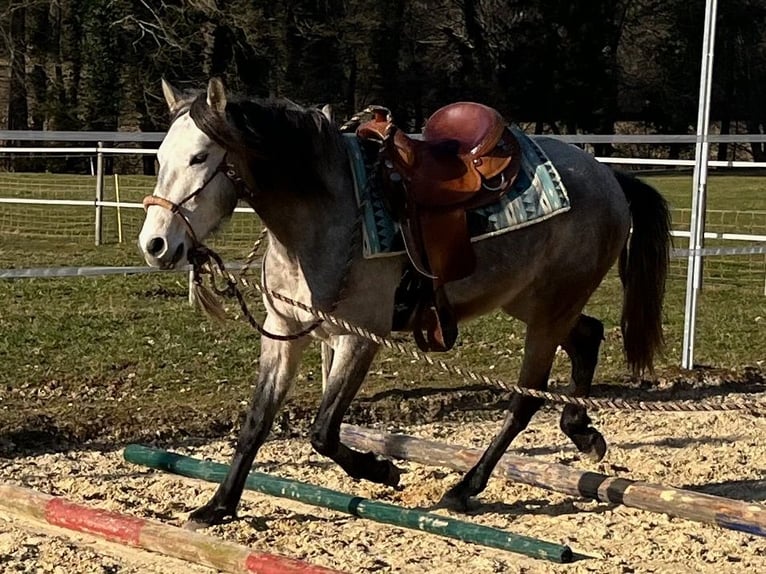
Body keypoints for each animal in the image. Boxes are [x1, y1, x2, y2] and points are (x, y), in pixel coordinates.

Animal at [140, 79, 672, 528]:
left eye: (200, 157)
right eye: (160, 157)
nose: (155, 245)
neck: (326, 213)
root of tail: (608, 177)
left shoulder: (359, 338)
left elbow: (323, 430)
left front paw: (382, 470)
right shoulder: (285, 331)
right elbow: (256, 422)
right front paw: (218, 506)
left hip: (549, 310)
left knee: (526, 398)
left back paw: (466, 487)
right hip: (531, 300)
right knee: (587, 337)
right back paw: (582, 432)